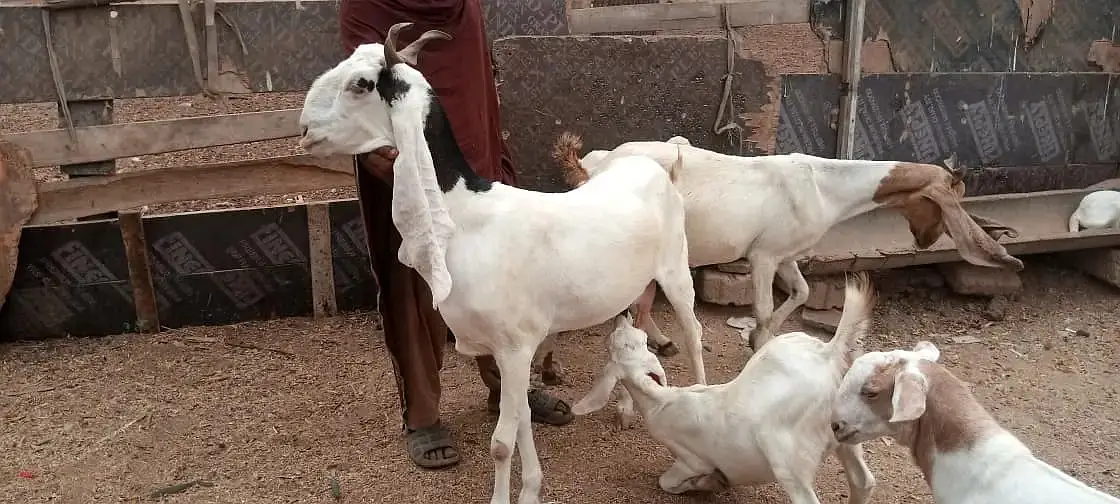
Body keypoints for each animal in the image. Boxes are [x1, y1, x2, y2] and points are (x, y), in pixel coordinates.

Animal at [554, 134, 1023, 352]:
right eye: (942, 203)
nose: (925, 241)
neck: (823, 187)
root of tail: (592, 164)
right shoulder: (763, 256)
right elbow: (762, 306)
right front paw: (759, 342)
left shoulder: (786, 254)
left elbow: (803, 292)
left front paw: (761, 338)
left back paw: (662, 340)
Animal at [572, 272, 879, 504]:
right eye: (637, 340)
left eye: (611, 345)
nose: (622, 313)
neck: (662, 402)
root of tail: (828, 354)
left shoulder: (690, 459)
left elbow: (666, 482)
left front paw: (710, 482)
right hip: (847, 430)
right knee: (863, 481)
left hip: (788, 458)